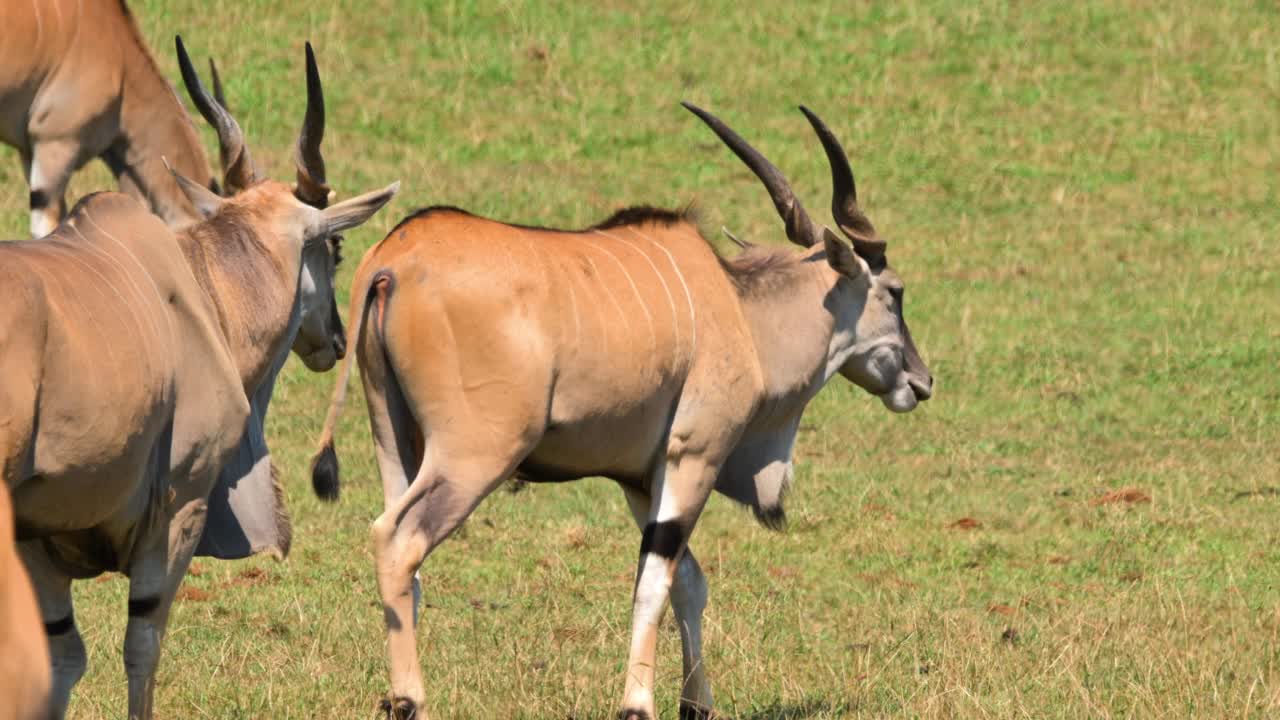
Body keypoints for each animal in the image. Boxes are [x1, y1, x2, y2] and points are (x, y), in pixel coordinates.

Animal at [0, 39, 399, 717]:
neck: (202, 288)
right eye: (336, 250)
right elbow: (141, 650)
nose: (336, 340)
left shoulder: (38, 540)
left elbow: (59, 661)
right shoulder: (179, 509)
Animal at [307, 102, 931, 717]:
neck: (741, 310)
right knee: (398, 540)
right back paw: (409, 698)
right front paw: (639, 704)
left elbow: (688, 581)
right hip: (473, 457)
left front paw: (696, 704)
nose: (921, 381)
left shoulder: (641, 479)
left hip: (396, 444)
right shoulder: (693, 456)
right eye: (895, 293)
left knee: (402, 561)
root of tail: (394, 260)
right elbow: (655, 581)